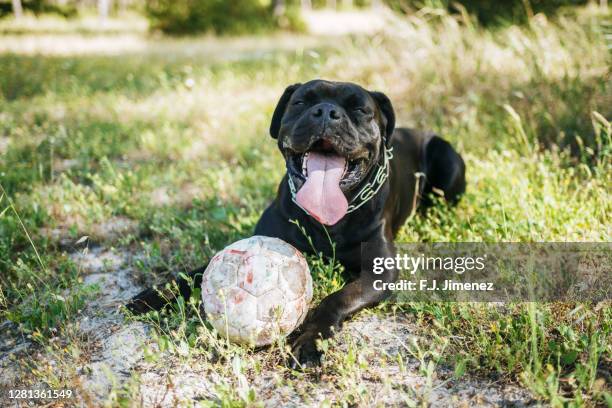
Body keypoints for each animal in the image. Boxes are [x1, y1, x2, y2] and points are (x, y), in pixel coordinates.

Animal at [129, 79, 464, 366]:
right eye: (301, 101)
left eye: (360, 109)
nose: (327, 112)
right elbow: (194, 273)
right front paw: (155, 295)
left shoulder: (378, 273)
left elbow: (335, 299)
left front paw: (309, 340)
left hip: (447, 160)